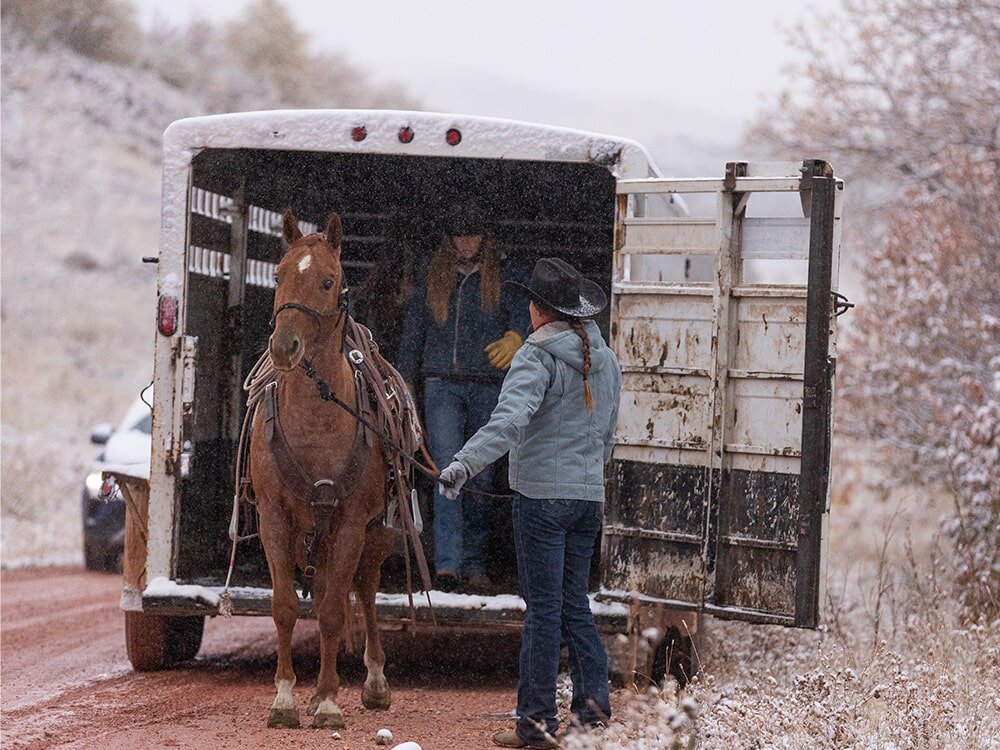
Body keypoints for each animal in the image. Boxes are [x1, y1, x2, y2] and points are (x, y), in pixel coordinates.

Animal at [249, 209, 396, 729]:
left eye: (328, 281)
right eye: (277, 275)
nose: (284, 346)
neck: (316, 419)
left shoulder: (351, 523)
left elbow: (333, 610)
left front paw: (331, 702)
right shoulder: (273, 518)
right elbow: (285, 607)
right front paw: (285, 700)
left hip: (375, 534)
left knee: (365, 591)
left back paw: (374, 684)